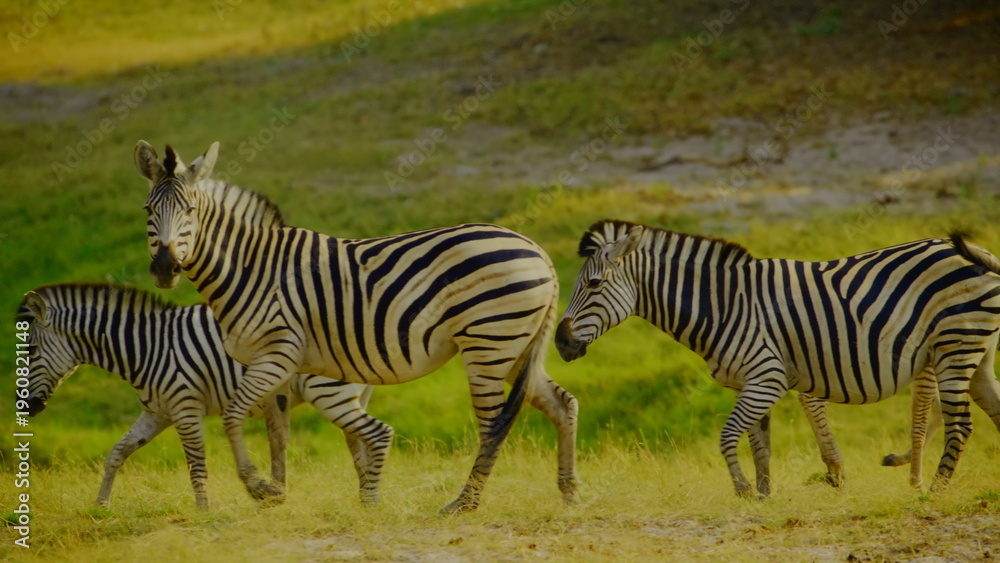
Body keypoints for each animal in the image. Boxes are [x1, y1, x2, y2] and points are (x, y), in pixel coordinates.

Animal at [18, 282, 390, 510]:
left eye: (30, 350)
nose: (27, 407)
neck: (147, 347)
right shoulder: (157, 413)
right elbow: (117, 453)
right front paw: (100, 506)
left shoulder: (185, 407)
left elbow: (196, 465)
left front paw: (203, 512)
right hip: (352, 395)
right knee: (360, 446)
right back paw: (364, 500)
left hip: (328, 392)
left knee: (379, 433)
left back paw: (372, 503)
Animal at [133, 141, 579, 513]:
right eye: (148, 211)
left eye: (191, 211)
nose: (165, 269)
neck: (249, 268)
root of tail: (538, 250)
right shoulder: (276, 369)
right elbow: (277, 432)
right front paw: (278, 492)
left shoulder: (277, 354)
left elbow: (233, 415)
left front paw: (257, 487)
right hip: (515, 346)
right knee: (562, 404)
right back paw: (569, 492)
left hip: (488, 344)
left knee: (491, 426)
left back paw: (465, 503)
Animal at [556, 220, 1000, 497]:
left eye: (593, 284)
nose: (560, 343)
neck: (724, 305)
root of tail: (982, 255)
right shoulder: (752, 383)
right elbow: (760, 445)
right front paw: (765, 493)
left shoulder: (766, 378)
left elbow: (727, 436)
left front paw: (743, 491)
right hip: (975, 356)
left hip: (955, 347)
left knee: (960, 425)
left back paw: (936, 492)